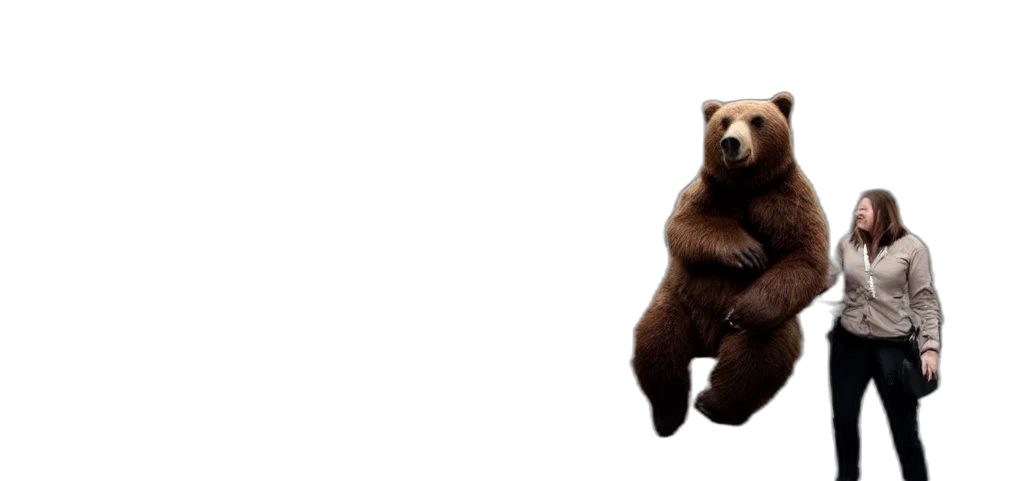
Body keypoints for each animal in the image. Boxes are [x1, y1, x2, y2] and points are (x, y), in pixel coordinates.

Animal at [630, 92, 831, 437]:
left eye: (757, 120)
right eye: (723, 121)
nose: (731, 143)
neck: (747, 185)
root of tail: (708, 342)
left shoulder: (785, 197)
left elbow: (805, 253)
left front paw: (739, 310)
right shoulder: (710, 191)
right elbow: (684, 226)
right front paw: (748, 251)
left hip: (773, 322)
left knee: (756, 357)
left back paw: (710, 402)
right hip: (677, 304)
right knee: (657, 345)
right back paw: (669, 414)